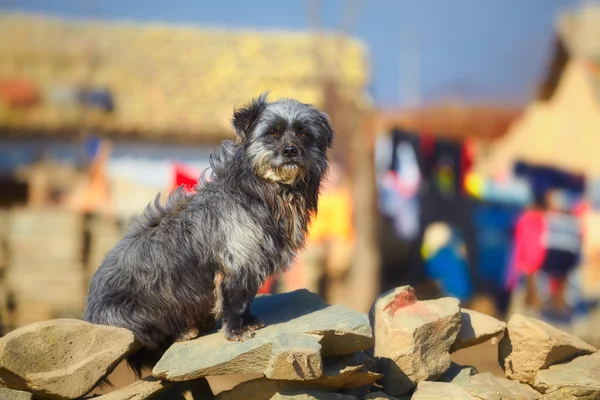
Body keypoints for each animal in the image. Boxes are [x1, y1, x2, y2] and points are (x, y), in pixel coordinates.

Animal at [83, 94, 332, 376]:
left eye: (303, 133)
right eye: (272, 132)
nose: (290, 150)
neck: (261, 191)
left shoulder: (252, 266)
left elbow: (247, 298)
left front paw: (249, 321)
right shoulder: (235, 264)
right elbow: (235, 301)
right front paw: (235, 330)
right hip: (134, 321)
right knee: (150, 343)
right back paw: (182, 332)